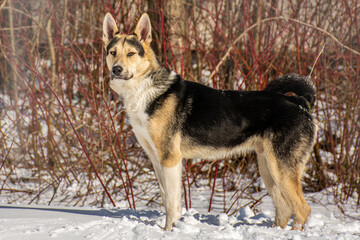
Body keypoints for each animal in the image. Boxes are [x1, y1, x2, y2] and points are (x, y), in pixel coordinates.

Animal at [102, 12, 318, 231]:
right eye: (112, 52)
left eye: (131, 53)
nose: (117, 70)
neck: (143, 88)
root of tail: (300, 103)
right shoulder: (156, 159)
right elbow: (166, 197)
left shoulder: (170, 159)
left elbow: (171, 202)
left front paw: (169, 230)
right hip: (267, 167)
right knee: (284, 208)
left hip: (281, 168)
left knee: (302, 209)